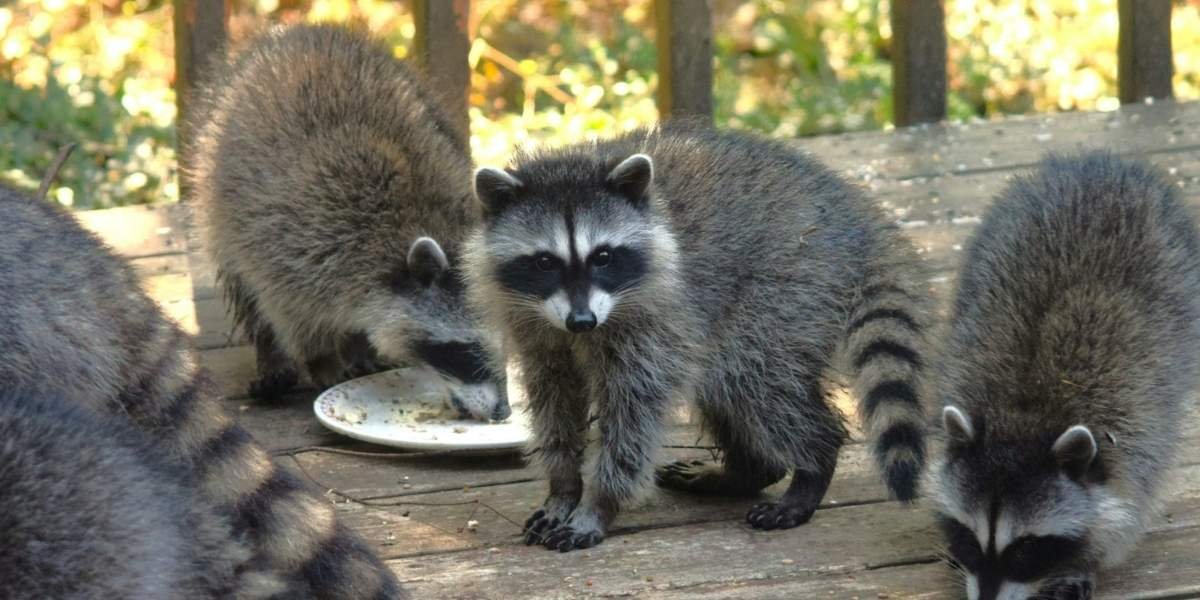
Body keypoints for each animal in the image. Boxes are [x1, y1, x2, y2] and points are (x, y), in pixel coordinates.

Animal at [187, 23, 508, 420]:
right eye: (467, 350)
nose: (504, 413)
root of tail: (303, 32)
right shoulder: (297, 239)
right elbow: (290, 308)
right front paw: (321, 357)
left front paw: (359, 346)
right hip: (218, 192)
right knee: (241, 279)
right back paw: (270, 351)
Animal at [465, 124, 932, 551]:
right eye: (545, 262)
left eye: (603, 257)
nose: (582, 321)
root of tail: (854, 213)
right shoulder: (536, 327)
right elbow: (555, 400)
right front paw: (563, 487)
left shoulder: (656, 318)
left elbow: (634, 412)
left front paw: (599, 502)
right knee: (729, 389)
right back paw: (748, 471)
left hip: (787, 286)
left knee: (758, 382)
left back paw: (814, 462)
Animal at [927, 153, 1200, 599]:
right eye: (970, 539)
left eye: (1025, 549)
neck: (1023, 415)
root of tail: (1099, 162)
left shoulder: (1137, 432)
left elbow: (1129, 505)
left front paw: (1083, 562)